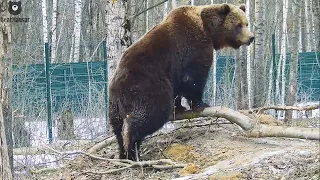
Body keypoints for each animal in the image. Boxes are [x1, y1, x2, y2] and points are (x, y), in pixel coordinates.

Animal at [109, 2, 254, 160]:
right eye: (238, 25)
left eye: (246, 23)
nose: (251, 37)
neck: (208, 29)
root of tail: (117, 88)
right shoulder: (193, 47)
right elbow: (193, 78)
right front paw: (200, 103)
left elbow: (179, 88)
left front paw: (179, 107)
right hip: (146, 86)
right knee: (150, 113)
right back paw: (131, 146)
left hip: (114, 107)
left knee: (117, 128)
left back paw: (124, 153)